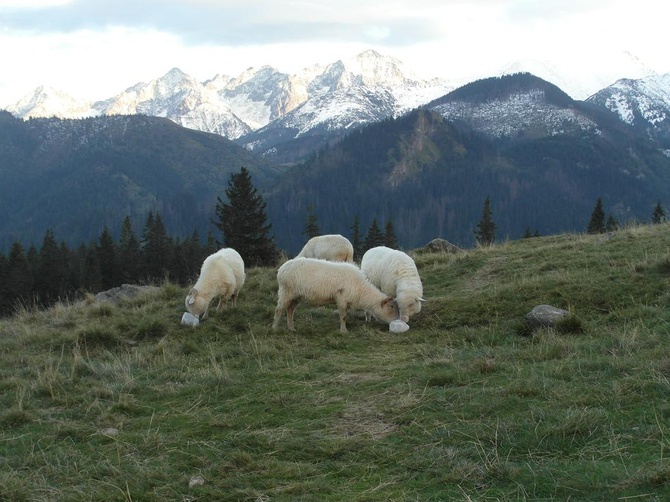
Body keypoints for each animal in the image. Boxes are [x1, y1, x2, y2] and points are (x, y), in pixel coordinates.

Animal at [272, 258, 400, 334]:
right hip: (286, 291)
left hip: (295, 296)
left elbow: (345, 316)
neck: (361, 290)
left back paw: (291, 328)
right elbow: (343, 316)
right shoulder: (341, 299)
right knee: (279, 310)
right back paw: (274, 328)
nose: (396, 321)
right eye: (391, 307)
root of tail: (281, 269)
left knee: (290, 310)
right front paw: (344, 331)